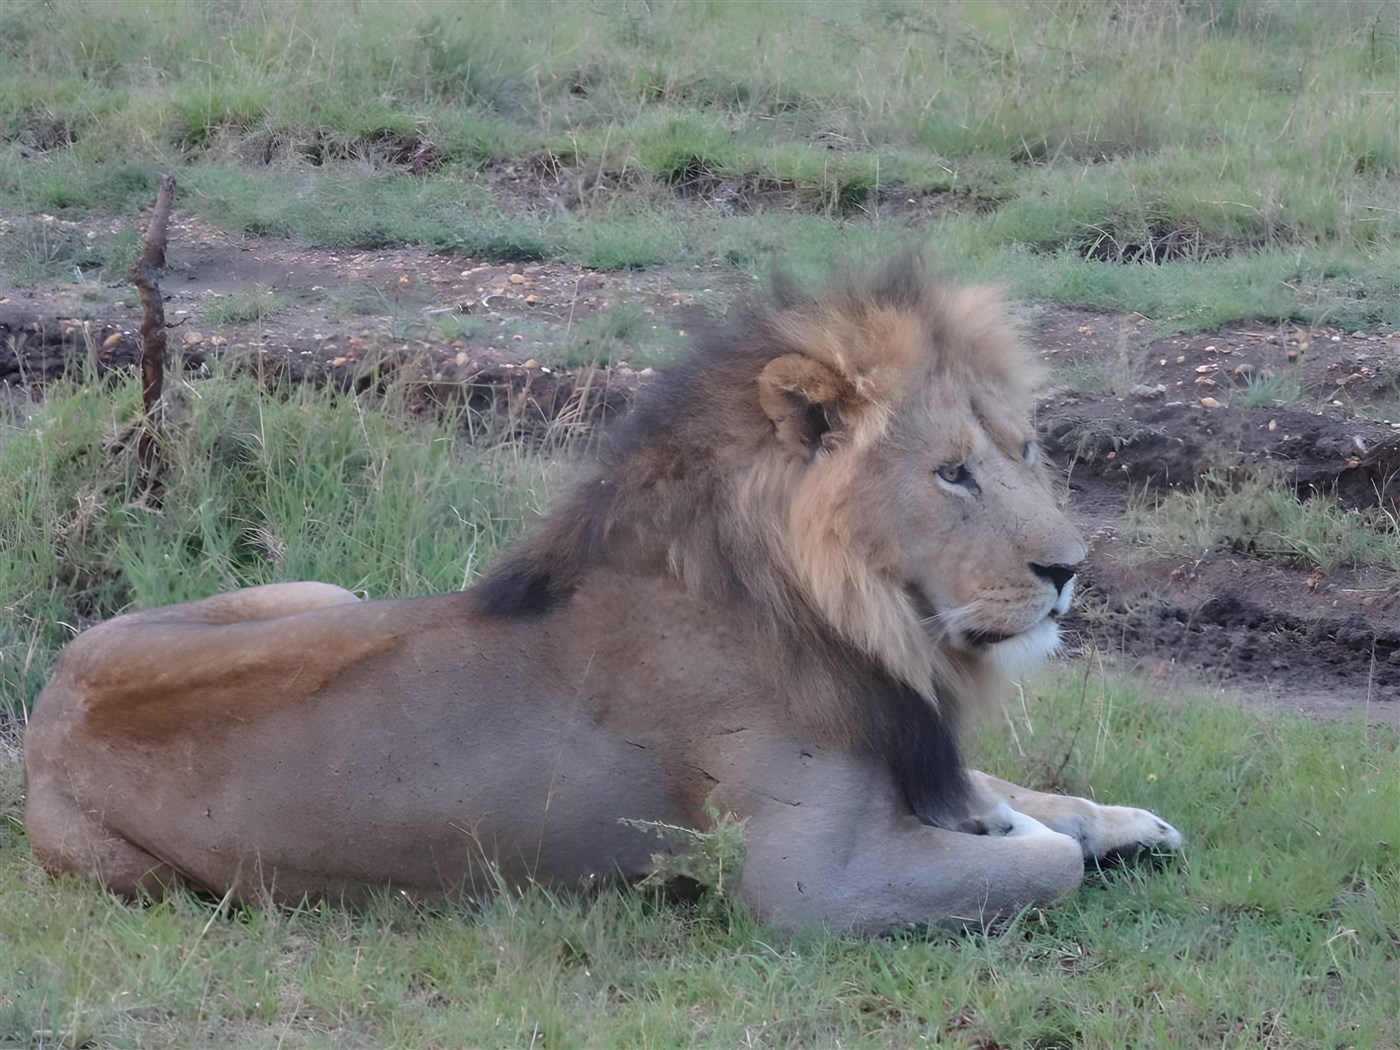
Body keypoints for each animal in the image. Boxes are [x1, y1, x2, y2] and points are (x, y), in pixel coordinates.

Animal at [23, 259, 1180, 933]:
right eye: (950, 473)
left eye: (1022, 450)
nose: (1069, 568)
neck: (864, 617)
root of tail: (45, 710)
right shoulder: (808, 885)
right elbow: (1038, 864)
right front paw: (1013, 831)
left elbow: (1029, 797)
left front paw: (1113, 821)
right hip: (133, 876)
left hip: (322, 590)